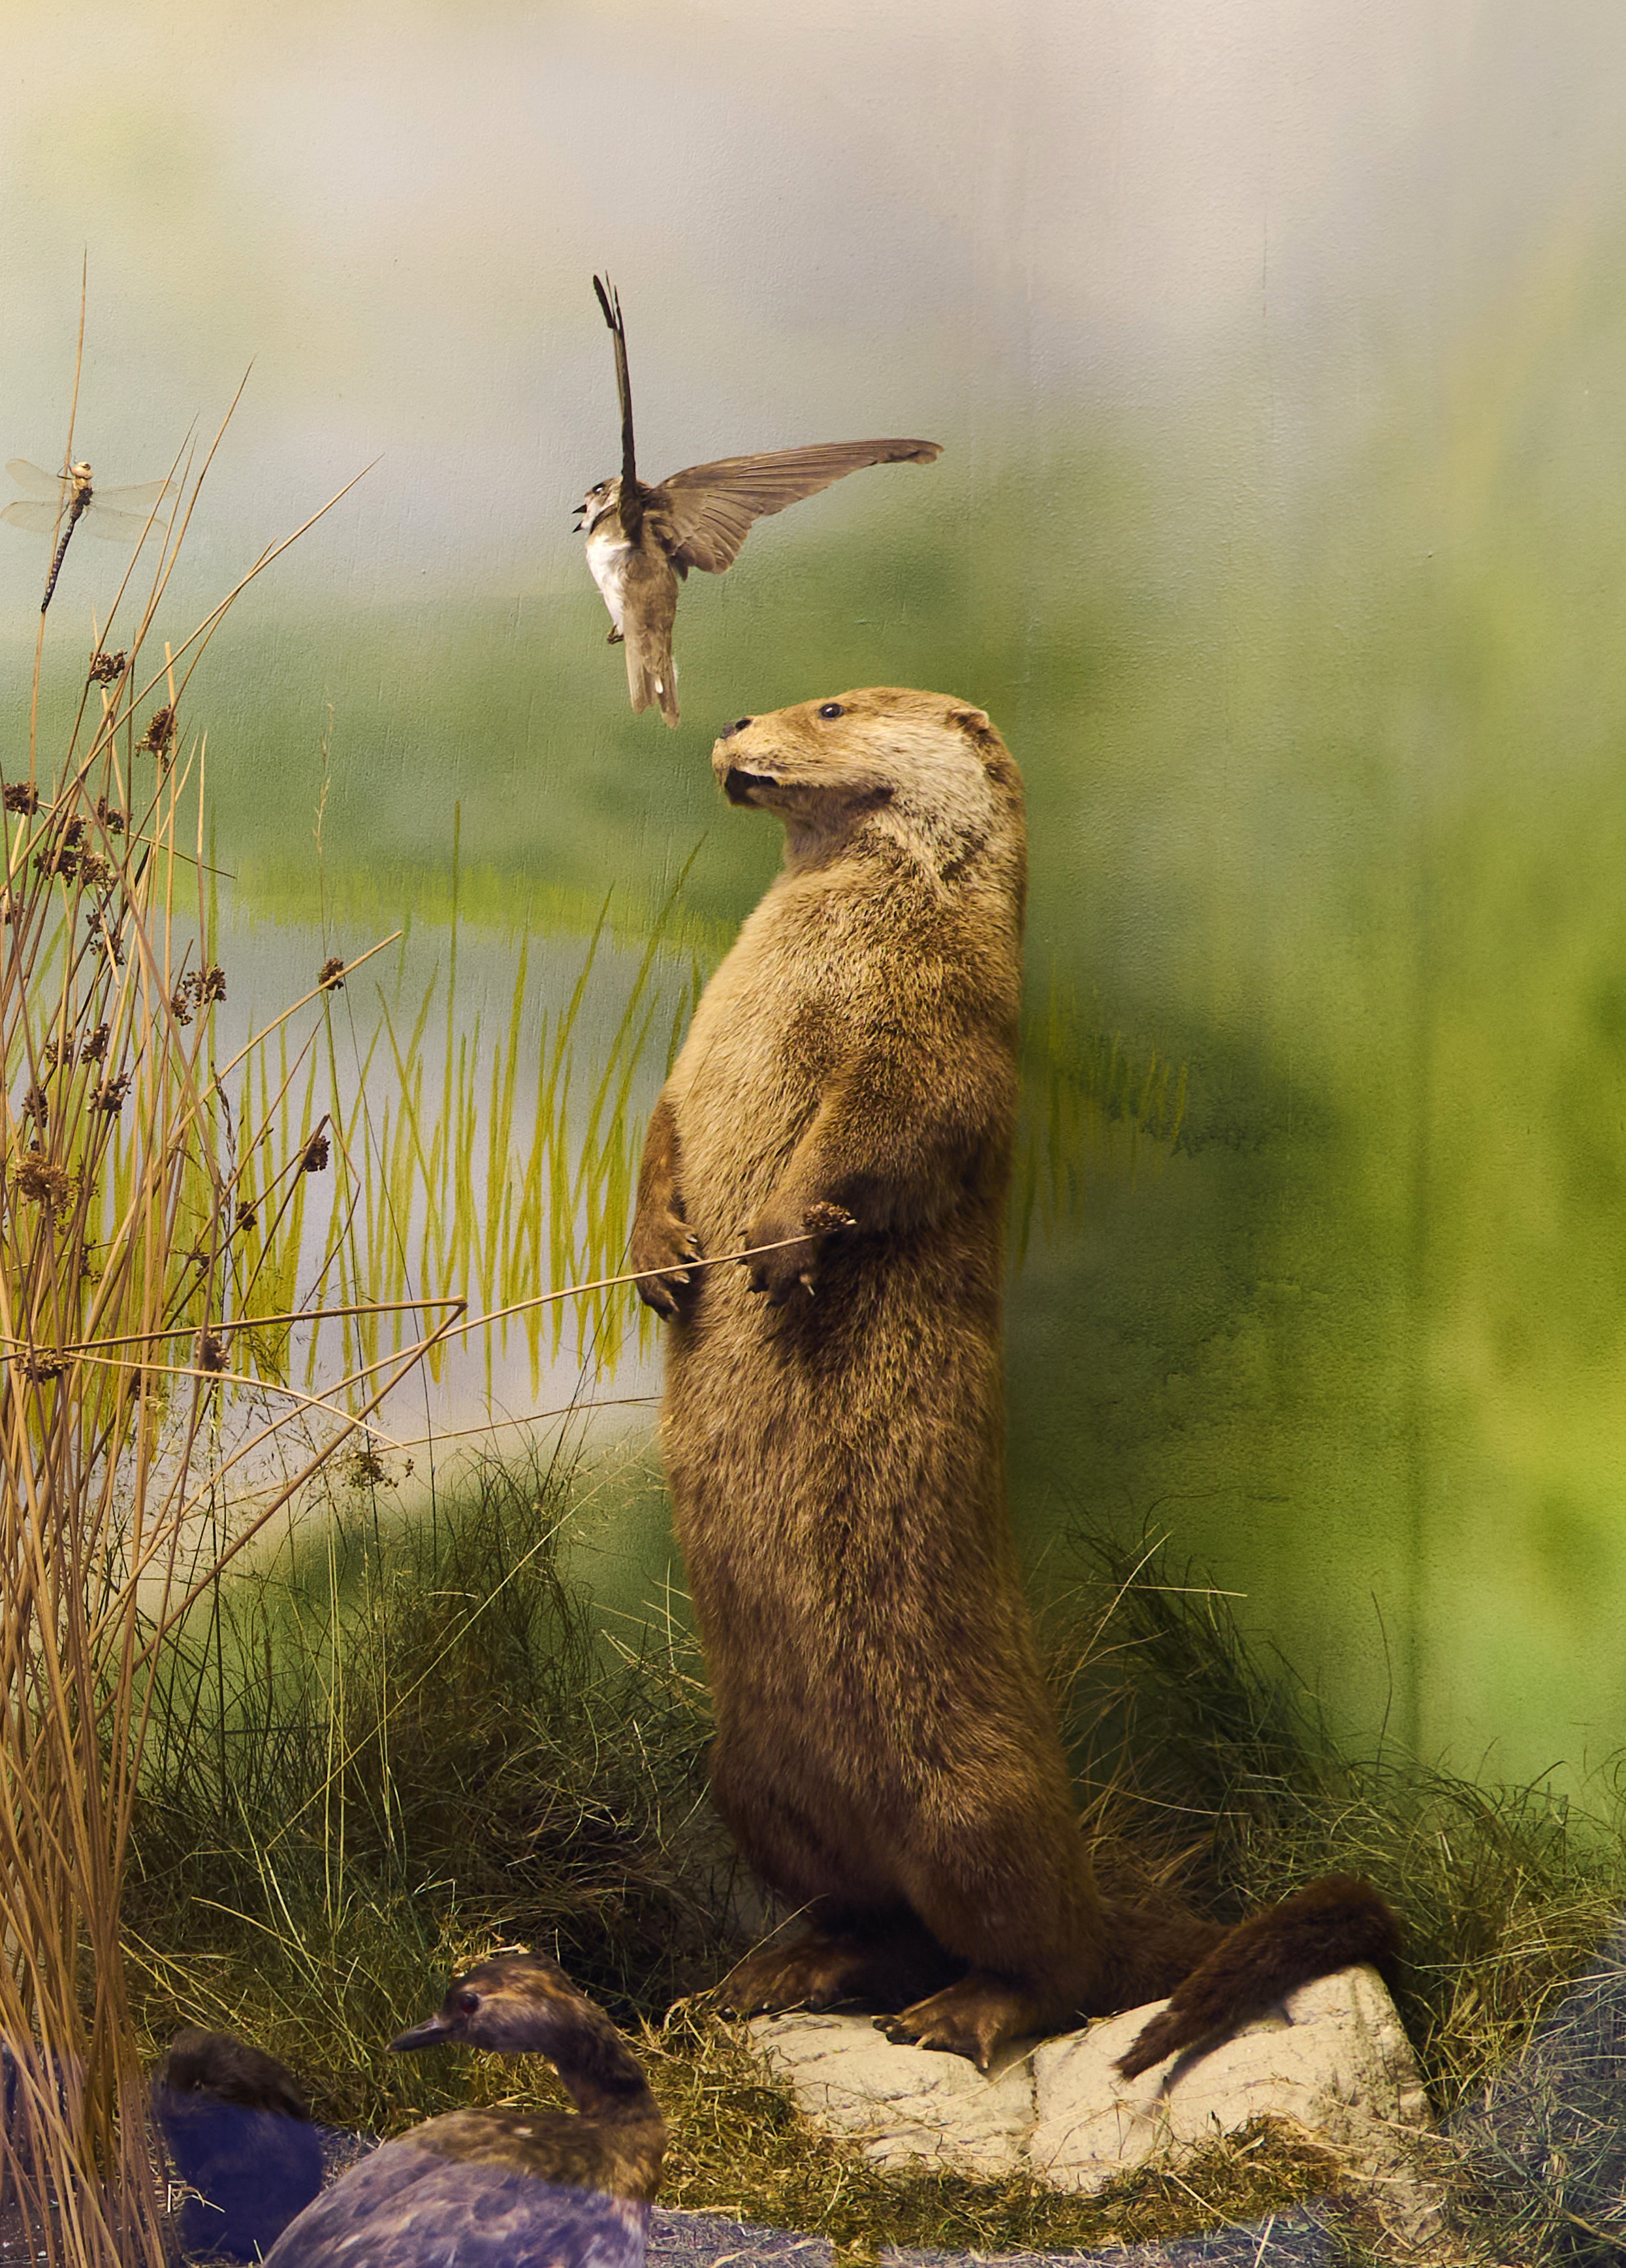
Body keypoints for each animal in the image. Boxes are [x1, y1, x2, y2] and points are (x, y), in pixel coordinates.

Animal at [630, 687, 1396, 2073]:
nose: (733, 718)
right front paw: (663, 1255)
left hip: (975, 1799)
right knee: (869, 1914)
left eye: (830, 701)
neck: (833, 930)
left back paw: (959, 2013)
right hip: (747, 1781)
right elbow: (662, 1122)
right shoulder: (690, 1053)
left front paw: (776, 1244)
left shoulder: (946, 1029)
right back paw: (766, 1975)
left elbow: (893, 1127)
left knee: (1048, 1958)